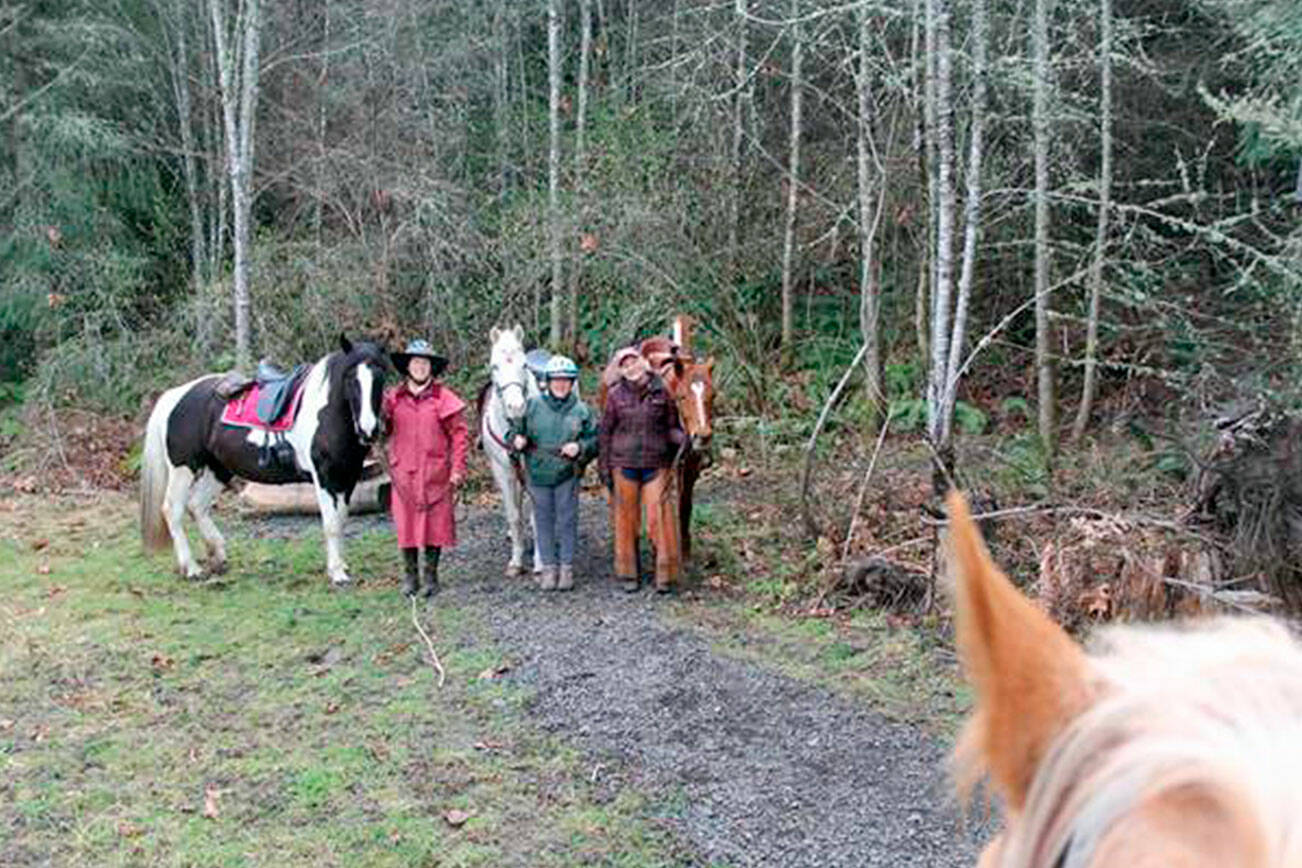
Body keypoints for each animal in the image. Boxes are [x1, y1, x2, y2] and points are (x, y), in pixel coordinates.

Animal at [140, 335, 387, 586]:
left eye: (381, 377)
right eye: (351, 378)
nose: (369, 430)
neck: (327, 413)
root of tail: (174, 396)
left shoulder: (348, 475)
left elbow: (342, 519)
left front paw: (341, 565)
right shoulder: (325, 477)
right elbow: (332, 524)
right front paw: (337, 573)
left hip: (218, 468)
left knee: (197, 505)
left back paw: (218, 555)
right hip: (183, 468)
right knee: (173, 509)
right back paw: (191, 568)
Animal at [478, 324, 542, 576]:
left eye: (523, 365)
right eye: (494, 366)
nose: (516, 407)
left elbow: (536, 515)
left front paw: (539, 562)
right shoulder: (502, 472)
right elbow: (514, 515)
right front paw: (516, 561)